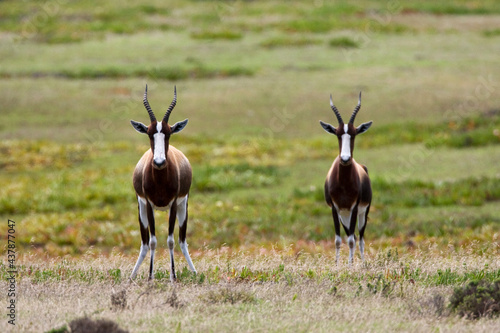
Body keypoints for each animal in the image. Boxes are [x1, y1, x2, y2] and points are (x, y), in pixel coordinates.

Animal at [130, 85, 196, 280]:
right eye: (150, 134)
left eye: (168, 133)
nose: (159, 162)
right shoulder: (149, 204)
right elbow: (152, 241)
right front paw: (150, 277)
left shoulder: (173, 204)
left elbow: (171, 240)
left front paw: (173, 277)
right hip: (141, 208)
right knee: (145, 242)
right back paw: (132, 275)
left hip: (183, 206)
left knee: (182, 240)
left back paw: (195, 272)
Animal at [318, 92, 374, 264]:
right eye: (337, 134)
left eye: (354, 134)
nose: (345, 159)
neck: (343, 184)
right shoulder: (335, 208)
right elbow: (338, 240)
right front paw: (337, 265)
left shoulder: (355, 207)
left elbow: (350, 241)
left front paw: (350, 265)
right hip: (345, 216)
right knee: (354, 236)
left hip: (362, 213)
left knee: (360, 239)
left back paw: (362, 263)